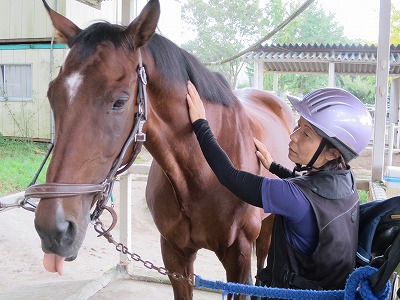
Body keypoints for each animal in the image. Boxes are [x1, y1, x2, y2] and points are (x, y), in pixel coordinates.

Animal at [27, 1, 294, 298]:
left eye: (120, 101)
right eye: (53, 94)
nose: (53, 229)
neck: (202, 175)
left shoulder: (238, 258)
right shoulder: (175, 256)